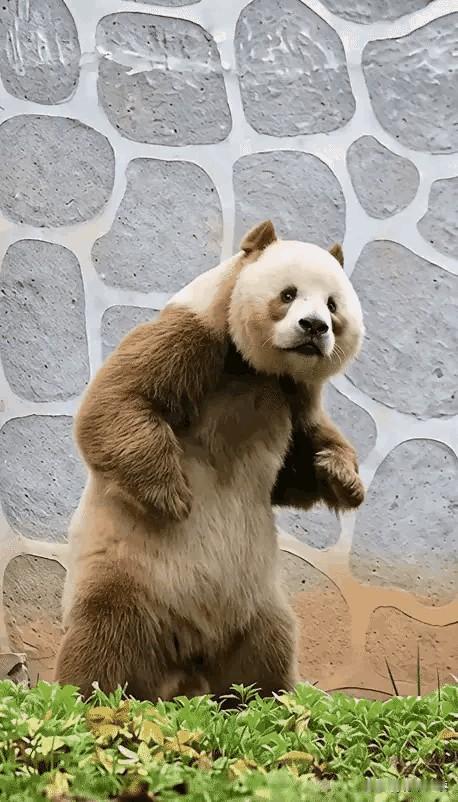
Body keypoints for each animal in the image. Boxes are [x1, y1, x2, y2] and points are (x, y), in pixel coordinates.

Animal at [55, 221, 365, 701]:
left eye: (333, 304)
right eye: (288, 294)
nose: (314, 327)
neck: (253, 368)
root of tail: (189, 650)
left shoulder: (291, 394)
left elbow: (297, 464)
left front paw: (342, 477)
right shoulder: (197, 337)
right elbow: (119, 401)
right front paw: (173, 497)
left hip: (253, 598)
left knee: (267, 651)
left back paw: (272, 699)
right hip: (133, 575)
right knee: (104, 641)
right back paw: (87, 696)